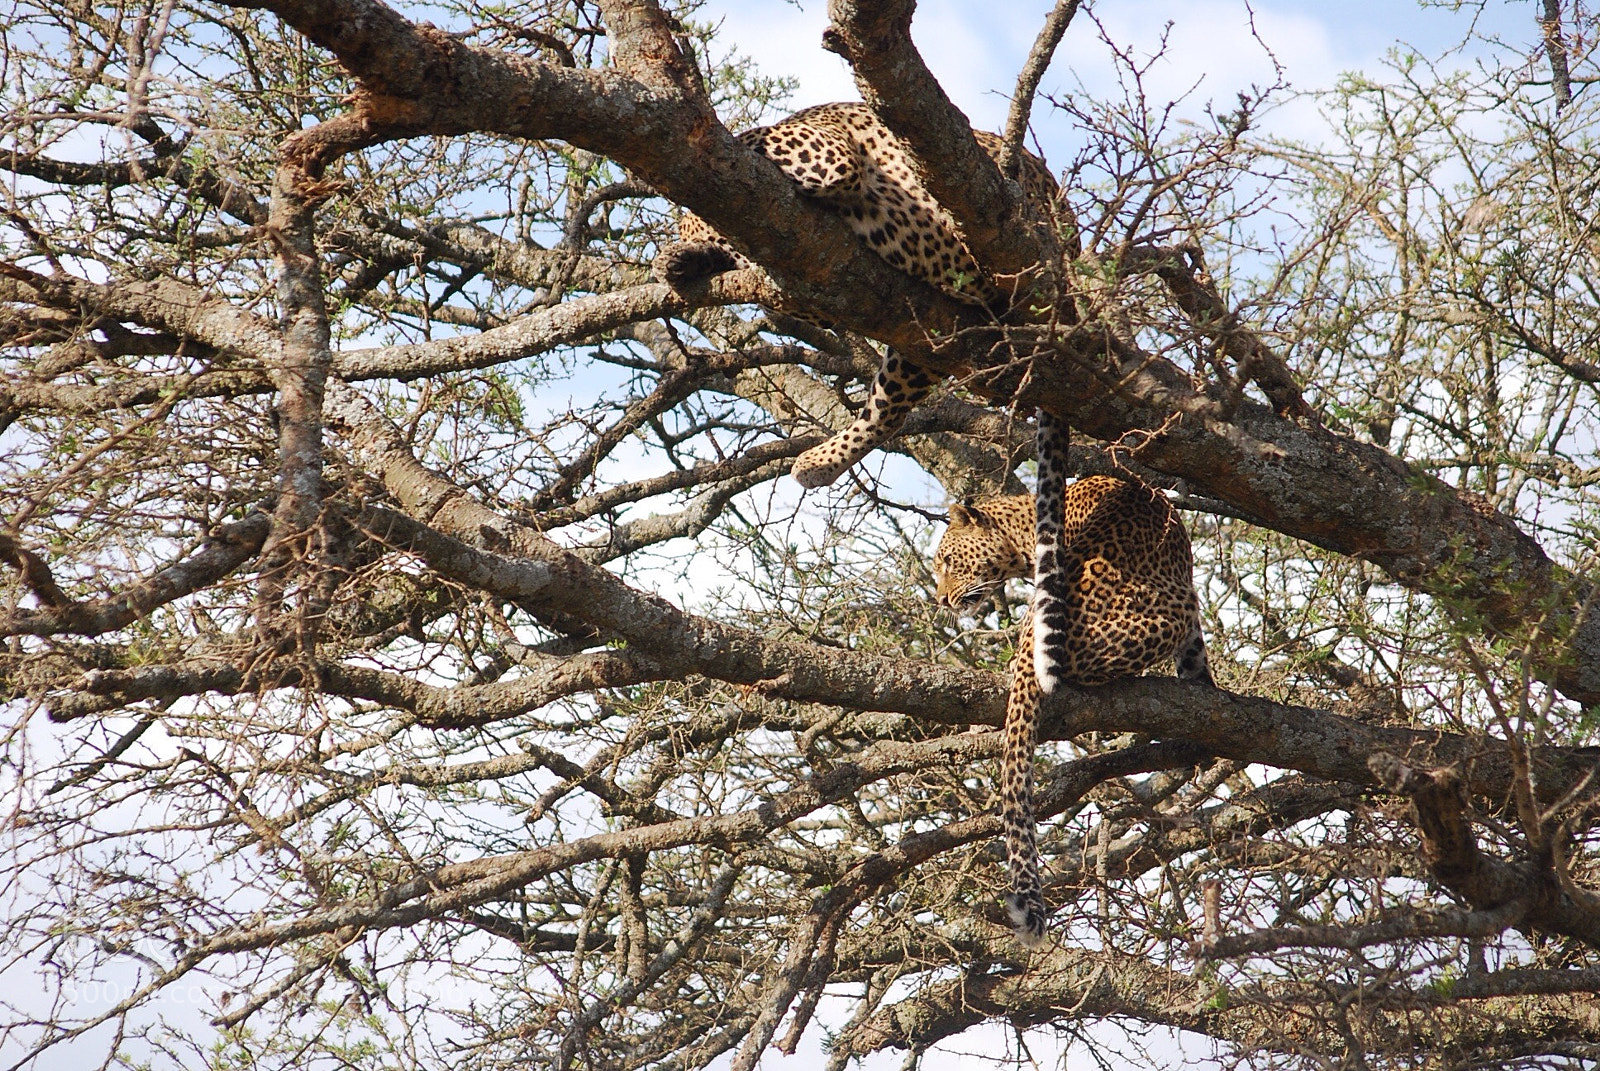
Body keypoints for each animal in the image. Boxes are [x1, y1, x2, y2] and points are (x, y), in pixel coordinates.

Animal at [652, 101, 1060, 489]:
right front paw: (679, 261)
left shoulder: (827, 161)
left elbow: (741, 153)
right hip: (925, 346)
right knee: (888, 412)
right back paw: (820, 463)